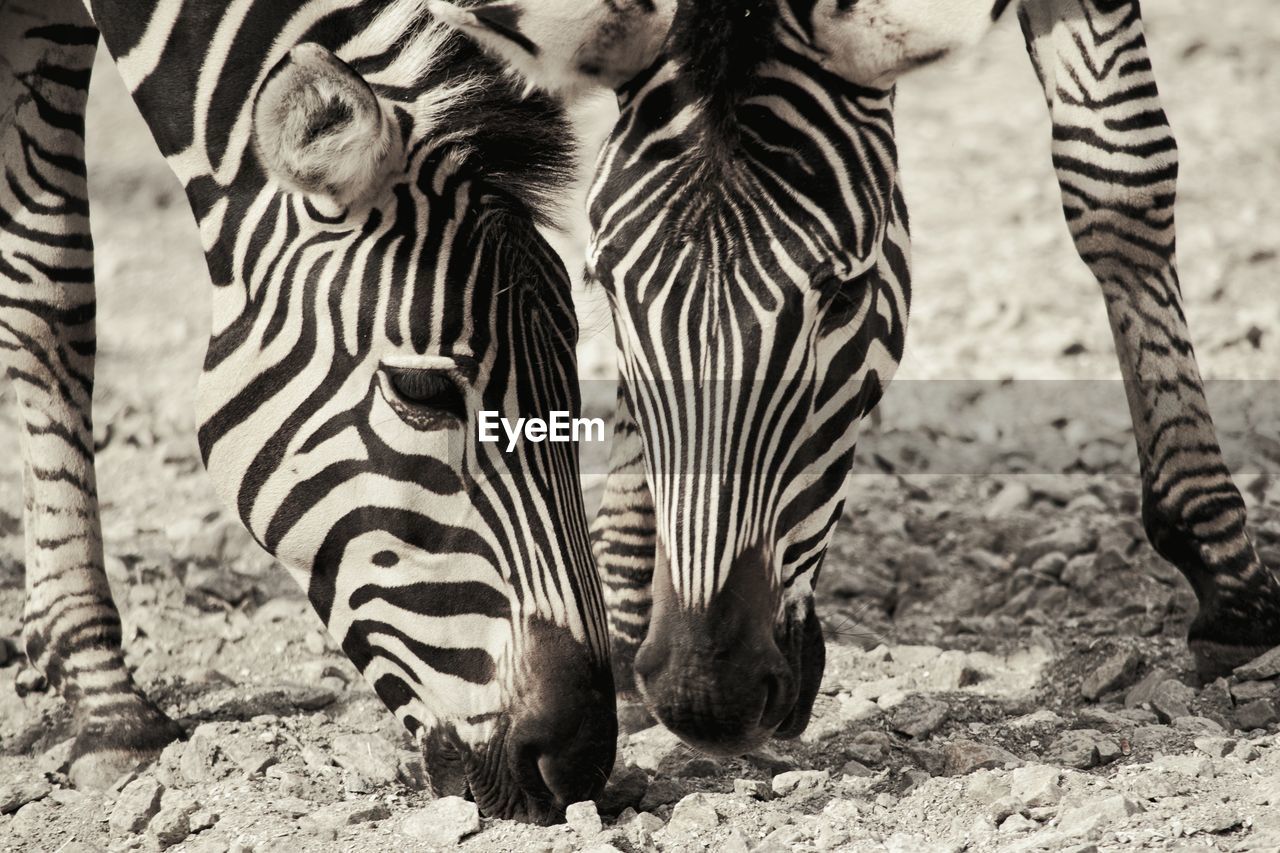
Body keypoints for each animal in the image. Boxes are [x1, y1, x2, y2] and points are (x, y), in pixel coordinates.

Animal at [435, 0, 1280, 753]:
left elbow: (1117, 178)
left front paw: (1226, 574)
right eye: (602, 286)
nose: (703, 695)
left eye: (846, 295)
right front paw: (625, 594)